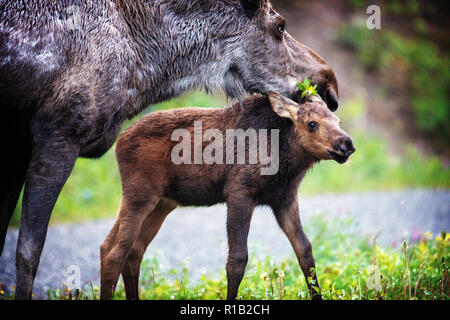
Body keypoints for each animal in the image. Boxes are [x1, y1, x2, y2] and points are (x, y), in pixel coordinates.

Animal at [100, 92, 354, 300]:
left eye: (338, 121)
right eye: (312, 124)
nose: (347, 144)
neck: (284, 165)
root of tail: (119, 142)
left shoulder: (285, 199)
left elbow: (305, 251)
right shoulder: (239, 193)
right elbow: (237, 259)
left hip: (161, 203)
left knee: (126, 249)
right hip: (140, 196)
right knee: (116, 252)